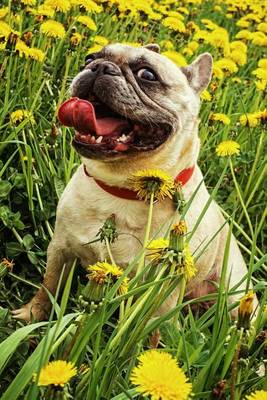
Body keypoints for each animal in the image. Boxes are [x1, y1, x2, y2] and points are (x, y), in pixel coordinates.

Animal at [13, 43, 254, 322]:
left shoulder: (161, 291)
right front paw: (31, 314)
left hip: (236, 296)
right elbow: (49, 284)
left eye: (147, 75)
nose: (99, 67)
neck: (121, 189)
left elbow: (148, 327)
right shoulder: (61, 248)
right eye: (89, 58)